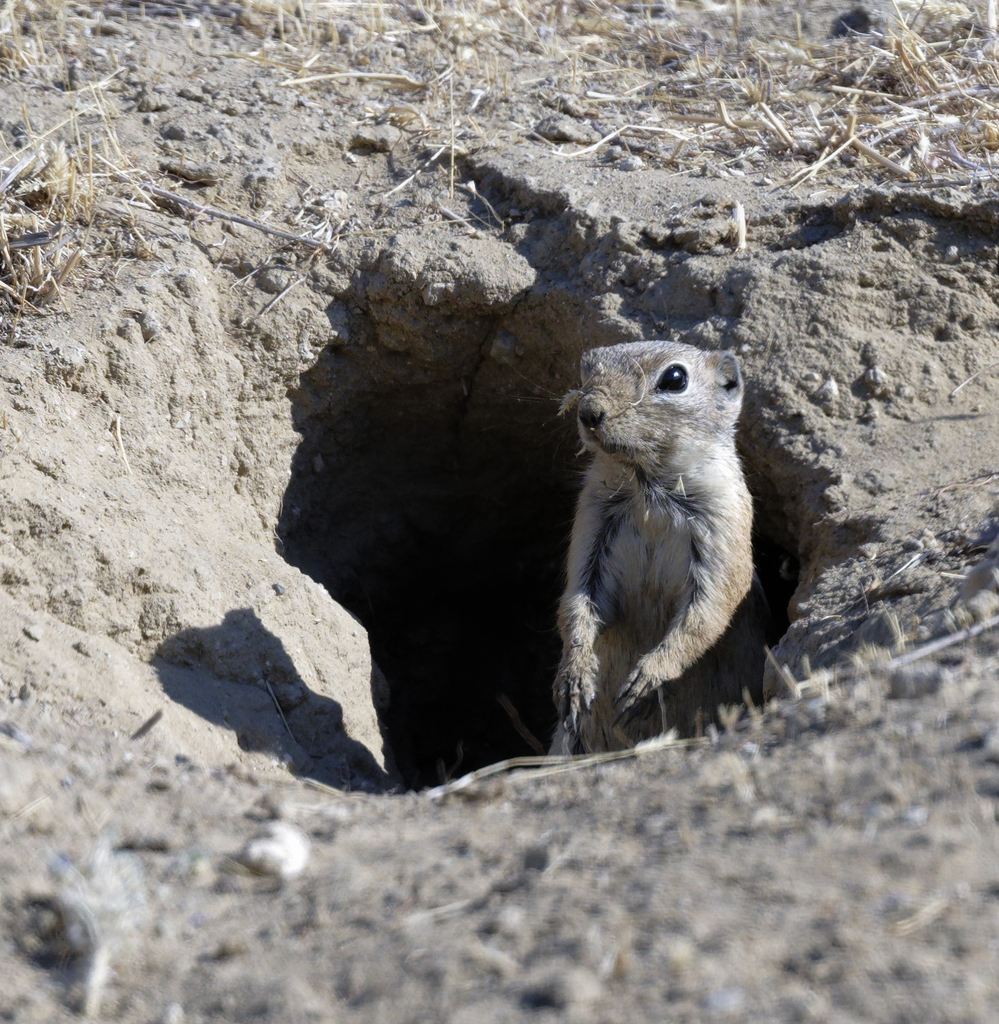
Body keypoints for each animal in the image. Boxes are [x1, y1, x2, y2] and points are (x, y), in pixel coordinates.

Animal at [551, 339, 772, 754]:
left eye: (675, 378)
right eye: (586, 367)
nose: (589, 411)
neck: (646, 488)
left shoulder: (723, 527)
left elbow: (707, 612)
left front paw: (646, 681)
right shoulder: (592, 527)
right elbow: (578, 602)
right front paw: (574, 679)